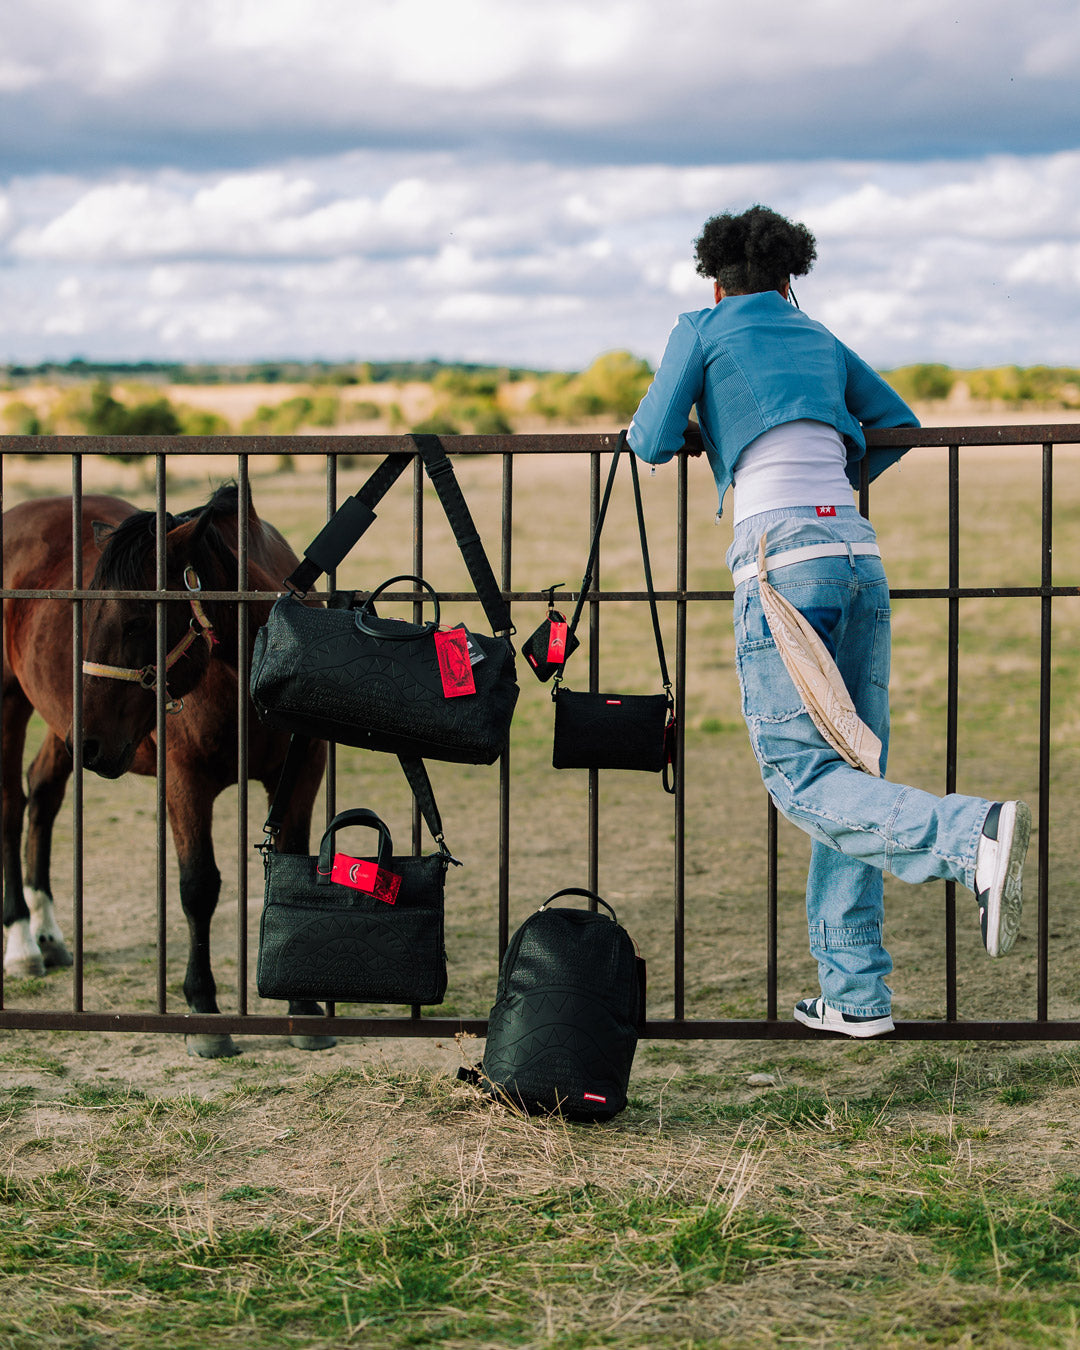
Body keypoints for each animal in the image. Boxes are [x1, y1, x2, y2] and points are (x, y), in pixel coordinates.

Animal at [2, 480, 326, 1058]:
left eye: (137, 622)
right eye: (86, 615)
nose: (90, 745)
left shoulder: (302, 773)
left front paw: (303, 1008)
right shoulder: (184, 781)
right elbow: (198, 887)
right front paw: (205, 1012)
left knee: (42, 794)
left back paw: (48, 932)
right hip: (15, 702)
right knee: (11, 806)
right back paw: (20, 941)